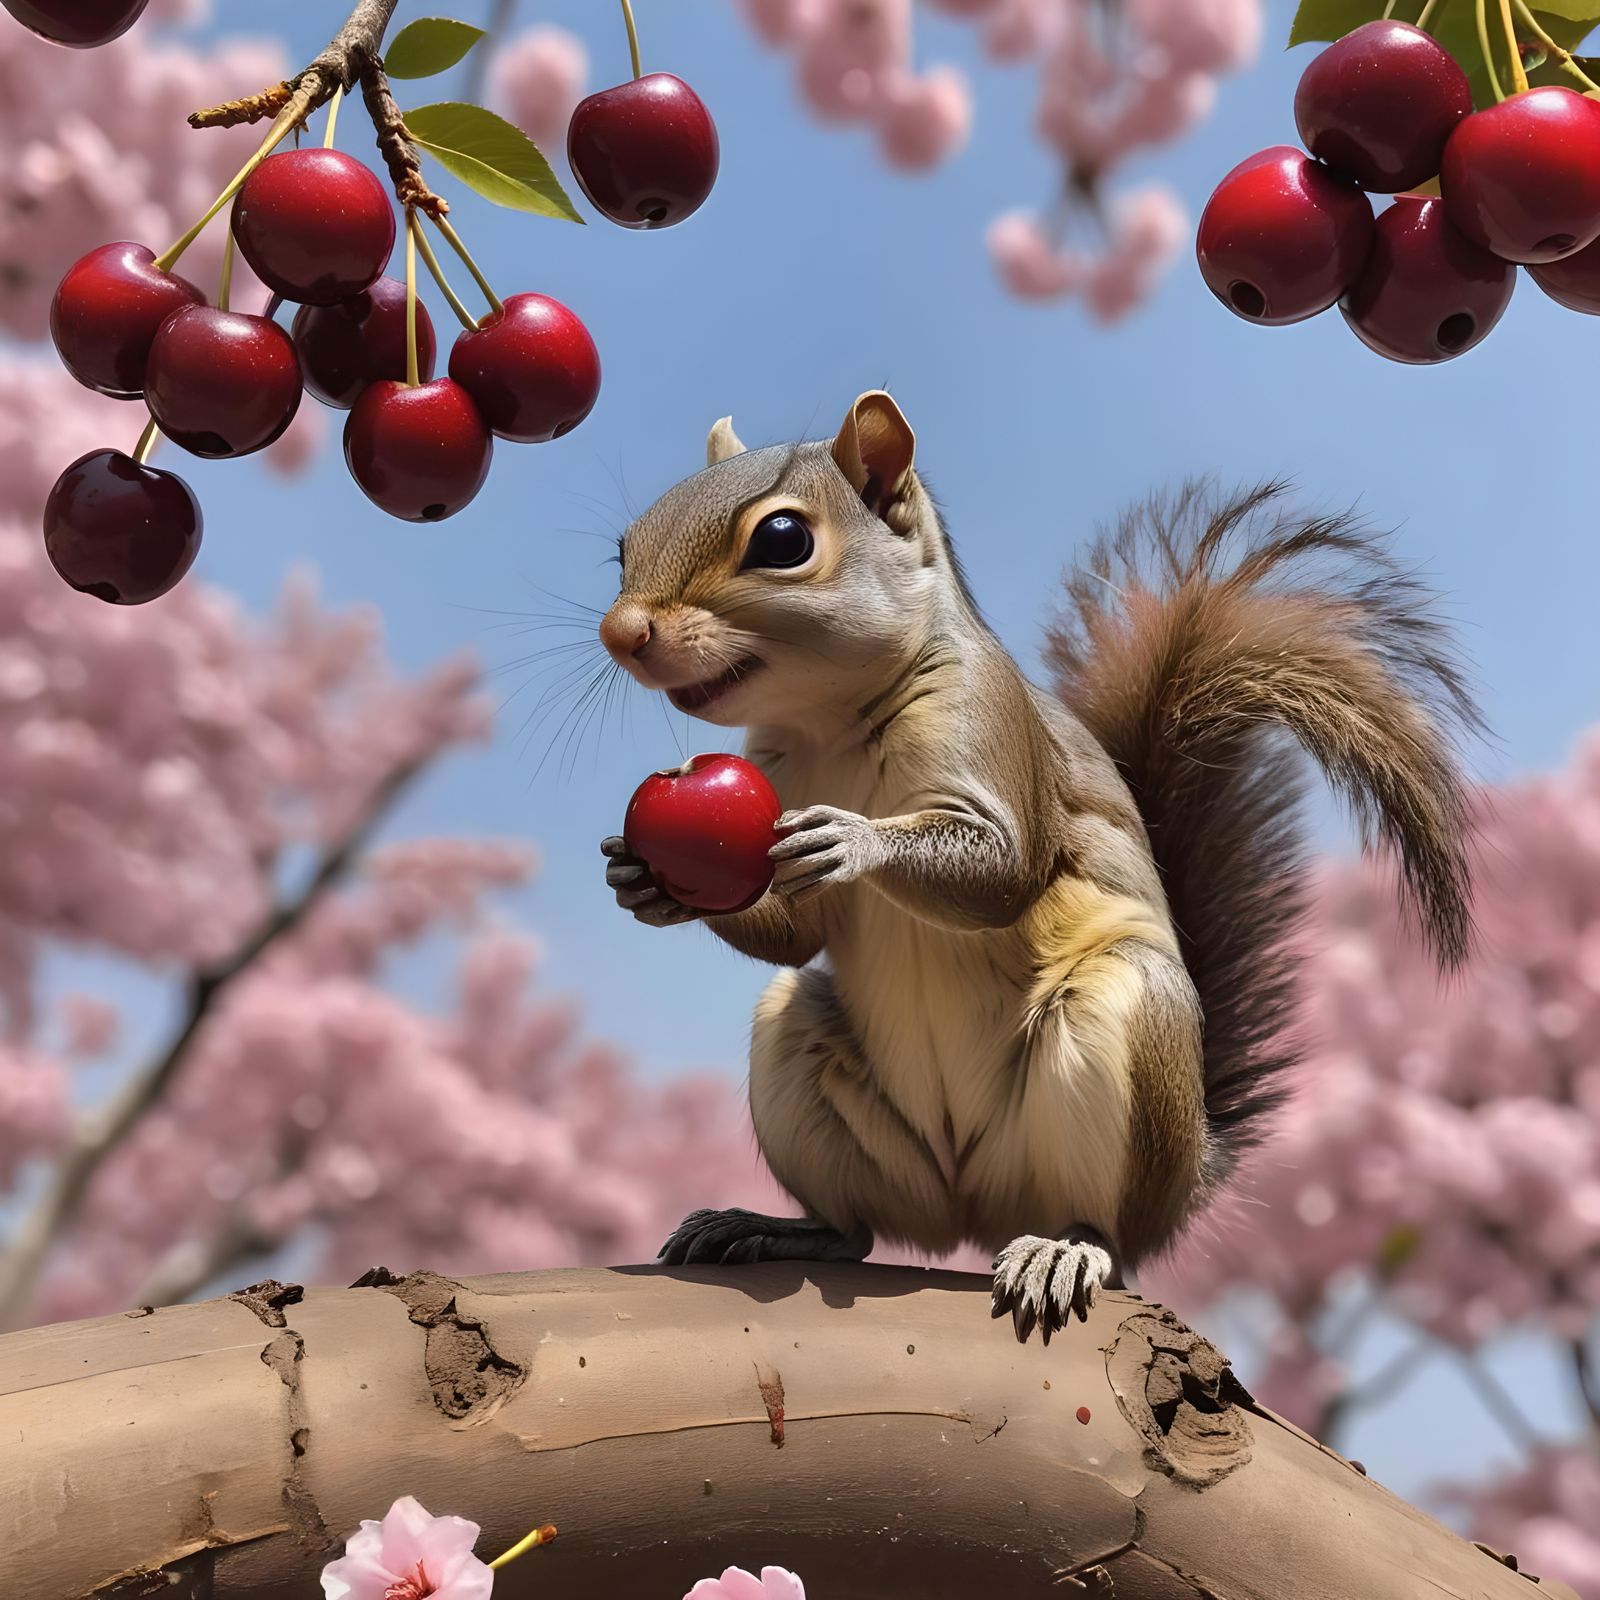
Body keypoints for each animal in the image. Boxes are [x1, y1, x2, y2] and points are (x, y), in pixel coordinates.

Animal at [598, 390, 1477, 1344]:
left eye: (784, 538)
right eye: (624, 547)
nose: (622, 632)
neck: (835, 720)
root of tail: (971, 1212)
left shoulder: (991, 725)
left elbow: (1003, 872)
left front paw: (856, 841)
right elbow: (796, 937)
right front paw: (640, 881)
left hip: (1122, 1028)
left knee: (1110, 1234)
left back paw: (1066, 1250)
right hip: (811, 1061)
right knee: (856, 1230)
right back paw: (771, 1227)